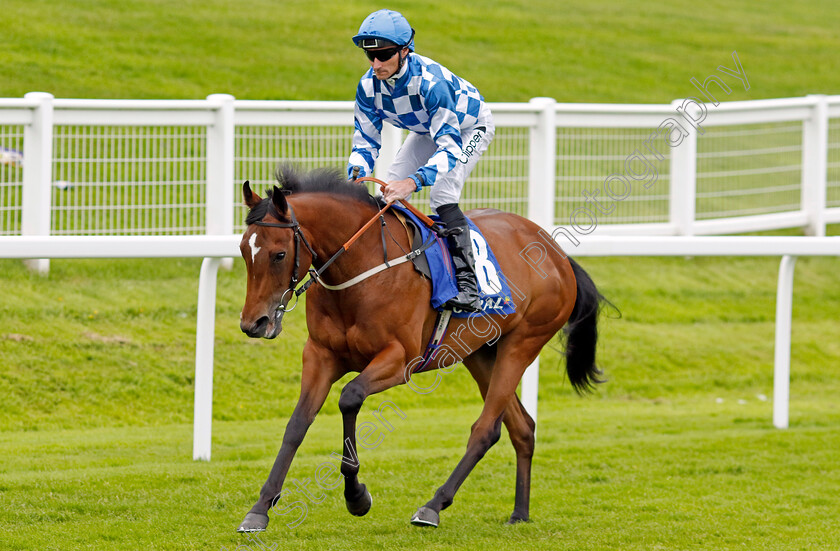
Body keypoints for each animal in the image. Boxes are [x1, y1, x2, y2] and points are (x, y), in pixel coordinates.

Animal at [235, 166, 604, 532]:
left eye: (279, 254)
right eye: (242, 250)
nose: (254, 323)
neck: (361, 268)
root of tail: (559, 255)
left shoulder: (401, 360)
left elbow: (350, 397)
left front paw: (357, 496)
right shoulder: (320, 355)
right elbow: (297, 424)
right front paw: (260, 508)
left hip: (522, 344)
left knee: (486, 429)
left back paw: (433, 506)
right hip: (480, 354)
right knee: (522, 428)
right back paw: (519, 512)